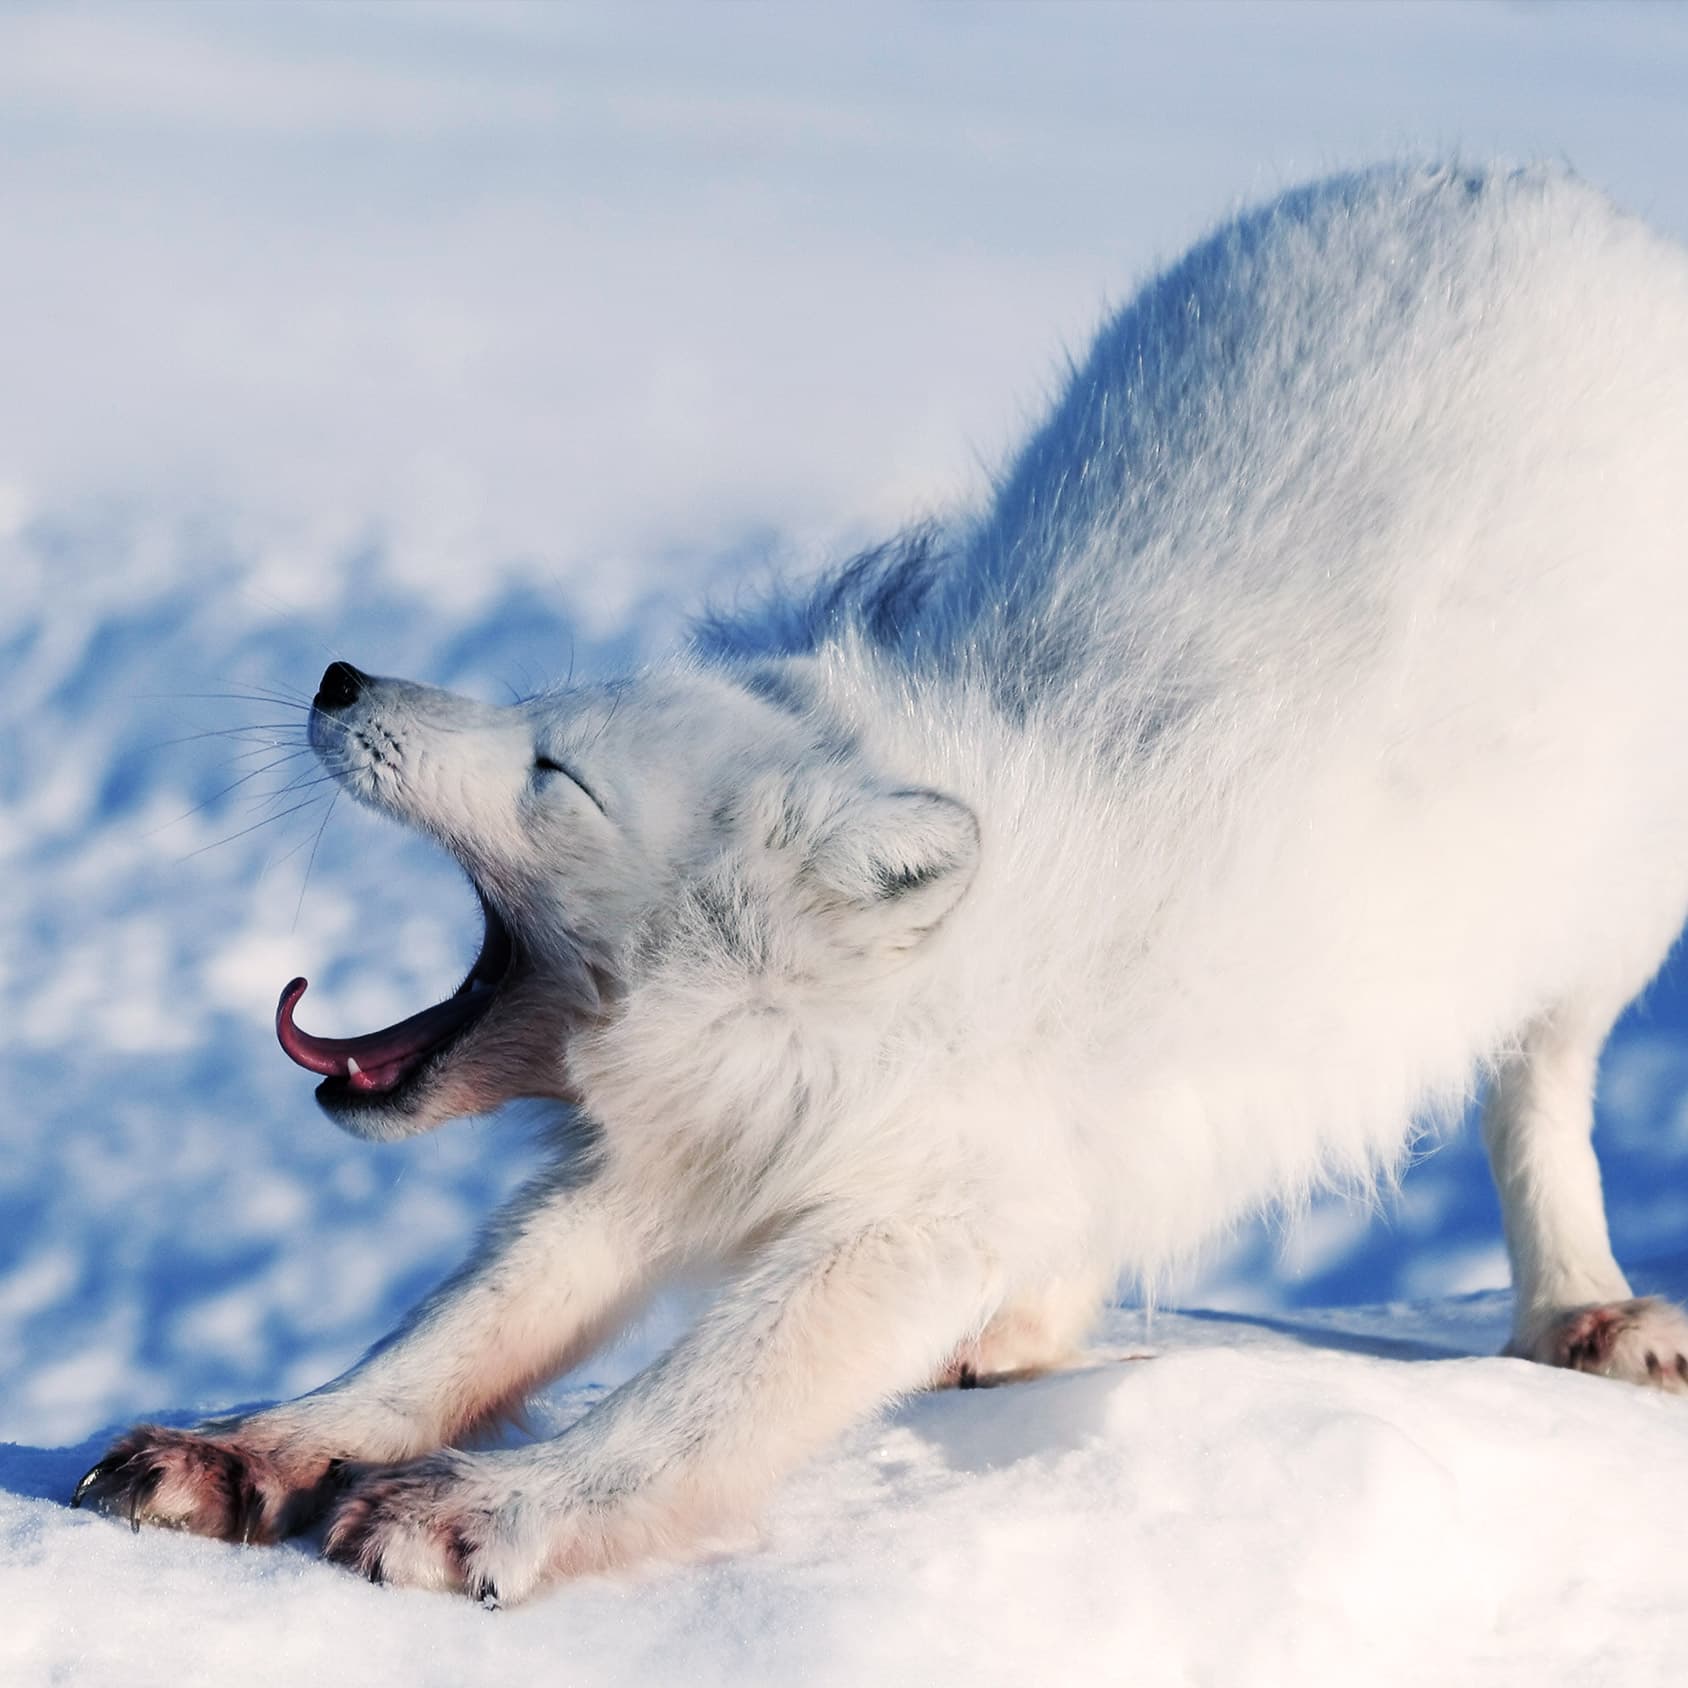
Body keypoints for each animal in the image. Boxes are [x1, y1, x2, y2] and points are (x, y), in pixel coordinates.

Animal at [72, 164, 1688, 1600]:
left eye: (555, 773)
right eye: (537, 711)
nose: (339, 677)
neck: (847, 1013)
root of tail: (1535, 186)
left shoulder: (913, 1212)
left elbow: (707, 1395)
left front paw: (495, 1509)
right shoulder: (673, 1157)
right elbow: (455, 1331)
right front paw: (257, 1445)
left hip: (1590, 932)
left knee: (1538, 1093)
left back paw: (1586, 1308)